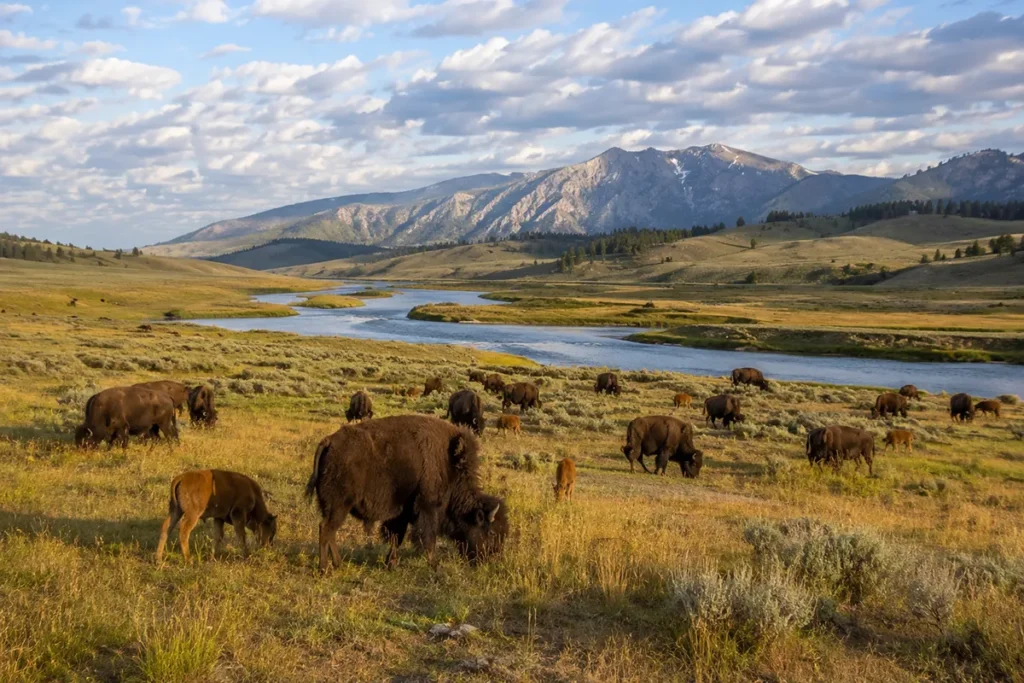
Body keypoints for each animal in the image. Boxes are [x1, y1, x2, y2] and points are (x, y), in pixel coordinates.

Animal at [306, 415, 508, 570]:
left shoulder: (401, 514)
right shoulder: (428, 508)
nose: (491, 560)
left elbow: (397, 537)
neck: (449, 466)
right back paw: (325, 568)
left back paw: (337, 564)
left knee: (330, 531)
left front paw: (391, 564)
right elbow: (427, 538)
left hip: (334, 508)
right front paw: (433, 564)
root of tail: (329, 442)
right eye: (491, 533)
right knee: (326, 529)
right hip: (339, 506)